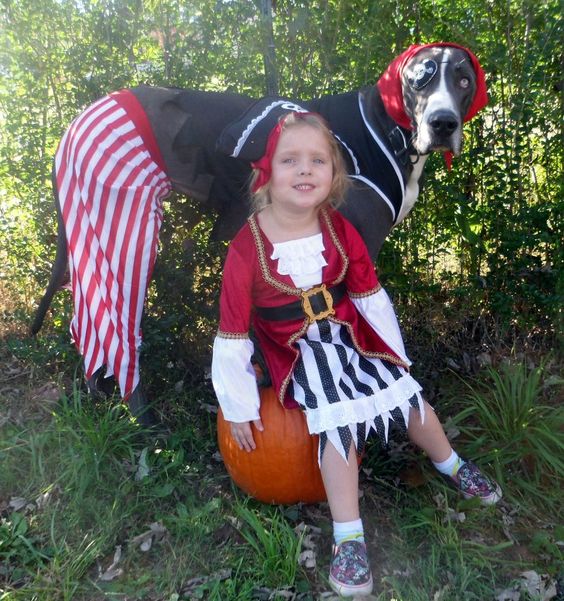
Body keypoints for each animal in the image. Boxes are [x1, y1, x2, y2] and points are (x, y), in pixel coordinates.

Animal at [30, 43, 486, 422]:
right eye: (420, 77)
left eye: (464, 80)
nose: (443, 123)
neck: (385, 130)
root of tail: (75, 125)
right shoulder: (358, 246)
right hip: (121, 225)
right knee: (115, 330)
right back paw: (140, 420)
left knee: (86, 322)